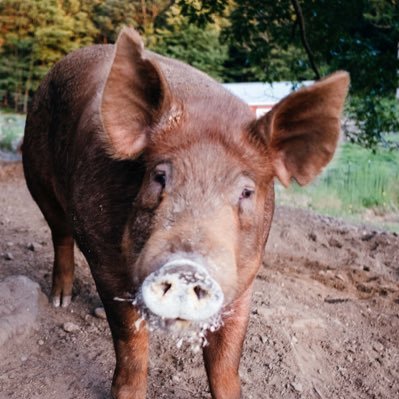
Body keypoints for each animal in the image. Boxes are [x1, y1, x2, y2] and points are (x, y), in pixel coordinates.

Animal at [21, 28, 348, 399]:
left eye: (246, 192)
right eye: (159, 176)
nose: (186, 268)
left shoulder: (245, 276)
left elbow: (226, 359)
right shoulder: (105, 263)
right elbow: (130, 340)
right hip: (36, 174)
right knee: (60, 233)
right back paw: (60, 301)